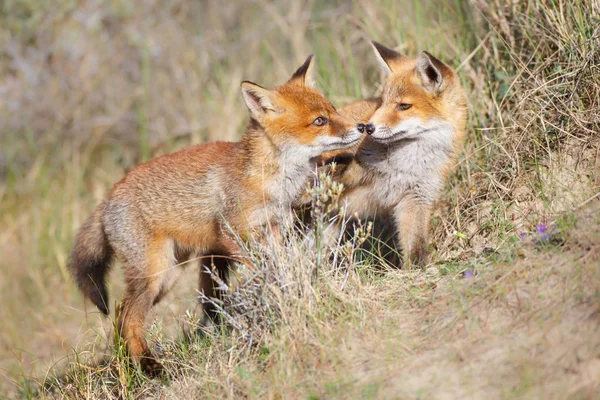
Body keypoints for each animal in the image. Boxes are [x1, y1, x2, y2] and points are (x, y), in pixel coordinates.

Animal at [69, 55, 360, 376]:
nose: (362, 126)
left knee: (120, 317)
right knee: (127, 317)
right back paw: (148, 366)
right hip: (155, 275)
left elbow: (280, 265)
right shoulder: (230, 234)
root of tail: (108, 197)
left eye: (332, 109)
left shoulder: (271, 229)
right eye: (320, 121)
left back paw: (128, 366)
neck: (267, 177)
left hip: (167, 276)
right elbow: (263, 269)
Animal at [324, 42, 468, 268]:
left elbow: (414, 245)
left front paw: (414, 272)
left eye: (404, 106)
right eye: (382, 102)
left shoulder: (416, 198)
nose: (368, 128)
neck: (405, 164)